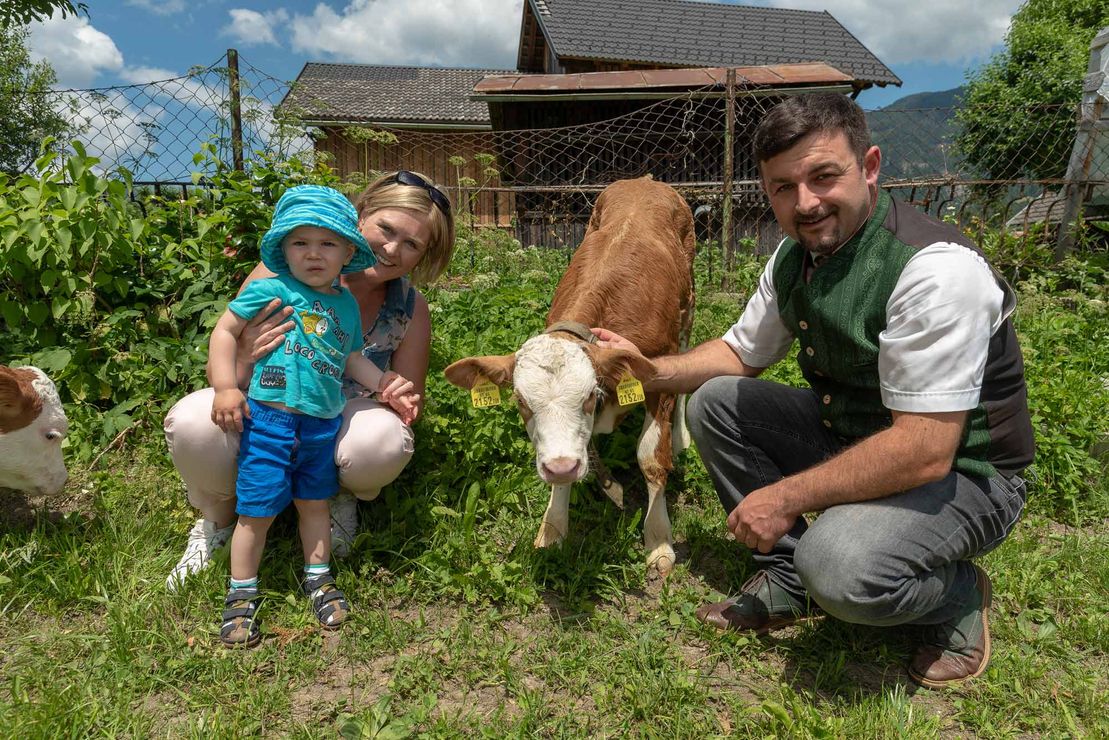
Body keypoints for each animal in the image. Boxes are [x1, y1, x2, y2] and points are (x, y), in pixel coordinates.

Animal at [443, 176, 692, 576]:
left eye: (589, 396)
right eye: (520, 401)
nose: (561, 468)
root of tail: (646, 181)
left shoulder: (659, 372)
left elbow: (651, 458)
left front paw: (658, 538)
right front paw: (554, 525)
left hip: (688, 308)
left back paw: (682, 435)